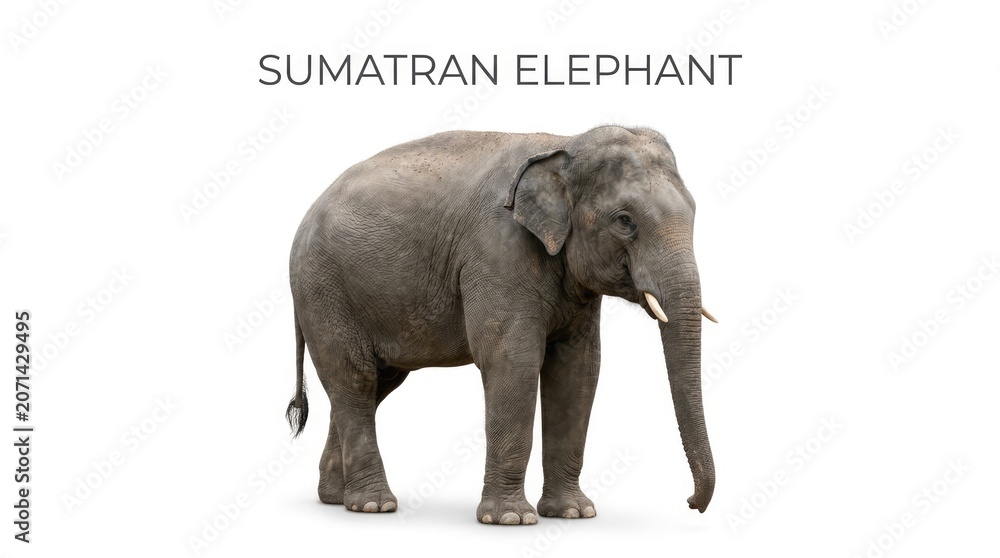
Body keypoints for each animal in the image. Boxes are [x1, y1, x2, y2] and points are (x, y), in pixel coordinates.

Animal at [285, 125, 717, 525]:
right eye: (625, 221)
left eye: (695, 211)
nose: (690, 503)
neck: (565, 144)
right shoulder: (497, 251)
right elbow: (513, 362)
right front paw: (511, 519)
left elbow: (578, 370)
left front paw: (574, 513)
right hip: (325, 293)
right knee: (354, 380)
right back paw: (375, 505)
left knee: (372, 386)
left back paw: (336, 498)